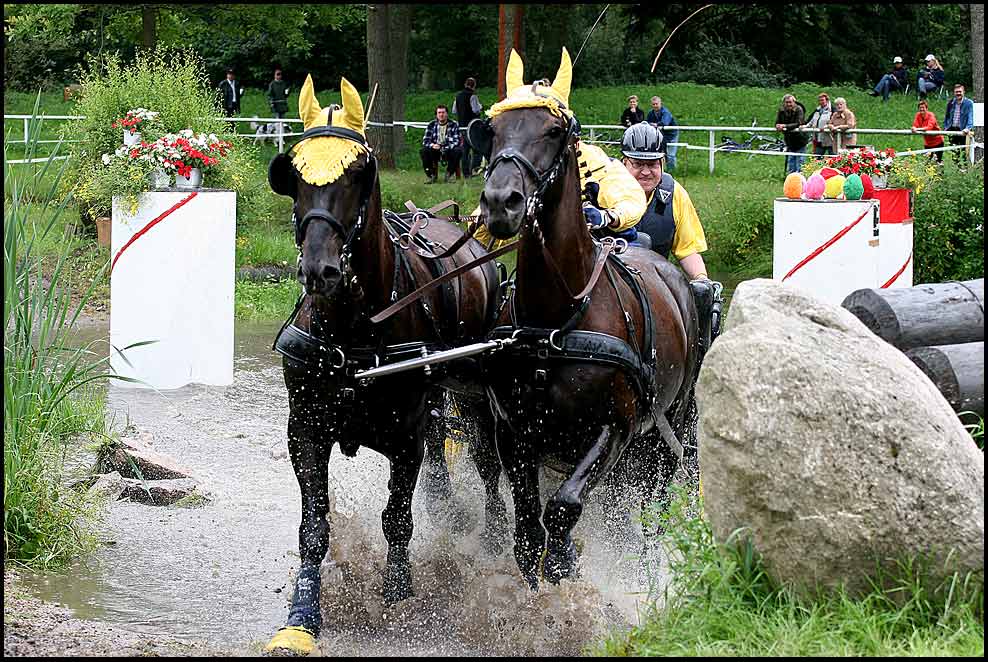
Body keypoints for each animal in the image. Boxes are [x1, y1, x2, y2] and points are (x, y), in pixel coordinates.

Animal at [262, 76, 506, 652]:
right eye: (294, 177)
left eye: (359, 174)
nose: (321, 270)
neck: (352, 329)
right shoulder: (305, 428)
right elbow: (314, 526)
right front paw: (303, 614)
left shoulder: (404, 436)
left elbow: (397, 518)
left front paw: (398, 596)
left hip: (475, 392)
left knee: (486, 458)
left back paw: (493, 532)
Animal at [472, 52, 700, 592]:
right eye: (492, 130)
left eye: (555, 131)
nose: (501, 202)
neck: (556, 319)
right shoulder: (513, 428)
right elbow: (527, 524)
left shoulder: (614, 428)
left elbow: (564, 507)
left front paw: (564, 561)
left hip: (669, 429)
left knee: (655, 506)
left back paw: (645, 570)